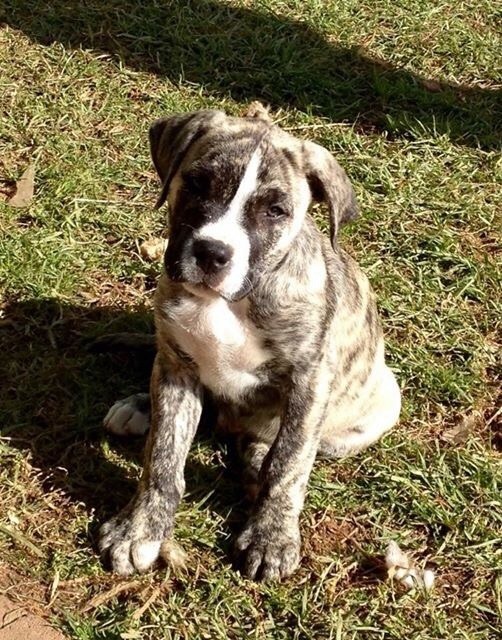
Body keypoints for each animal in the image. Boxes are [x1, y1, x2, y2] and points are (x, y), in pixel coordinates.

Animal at [99, 104, 401, 581]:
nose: (211, 253)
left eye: (275, 210)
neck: (232, 301)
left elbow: (290, 462)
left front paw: (271, 536)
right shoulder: (178, 367)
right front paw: (139, 529)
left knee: (275, 446)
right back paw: (140, 407)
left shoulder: (309, 381)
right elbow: (164, 455)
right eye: (197, 183)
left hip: (383, 401)